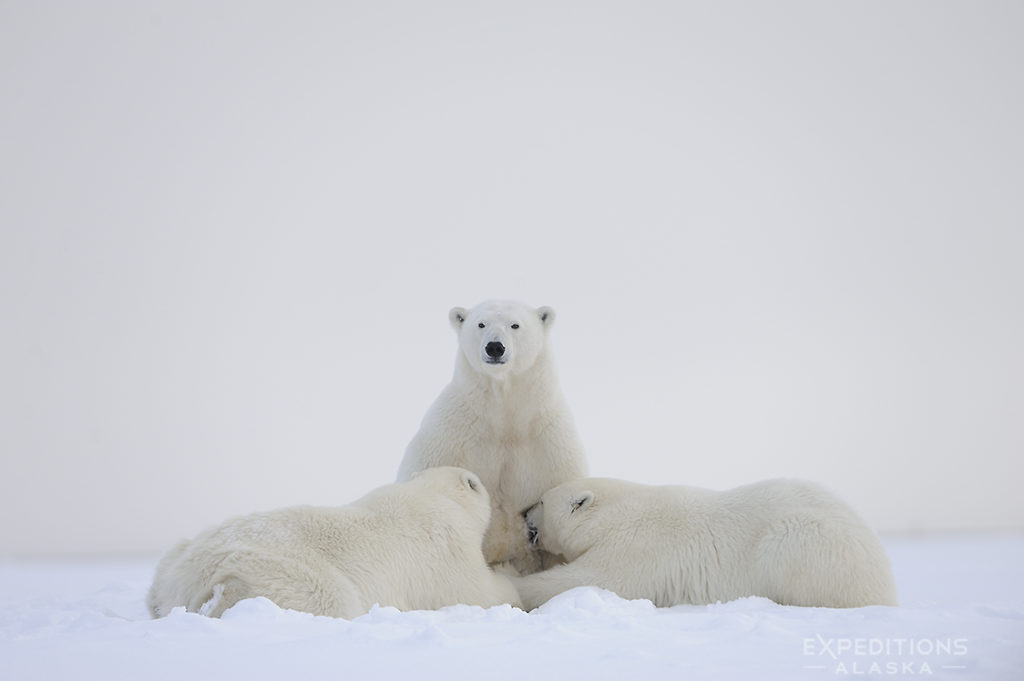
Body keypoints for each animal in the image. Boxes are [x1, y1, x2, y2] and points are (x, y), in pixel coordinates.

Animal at [146, 466, 520, 614]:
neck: (433, 494)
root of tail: (187, 577)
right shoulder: (445, 545)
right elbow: (479, 593)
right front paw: (509, 571)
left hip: (175, 558)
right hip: (281, 568)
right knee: (331, 597)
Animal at [395, 301, 589, 569]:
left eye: (515, 325)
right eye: (481, 324)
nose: (495, 347)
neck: (504, 420)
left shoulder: (549, 446)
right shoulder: (450, 440)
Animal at [512, 475, 897, 606]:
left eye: (542, 501)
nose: (523, 511)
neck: (615, 513)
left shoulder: (638, 547)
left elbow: (591, 579)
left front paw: (515, 583)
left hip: (807, 541)